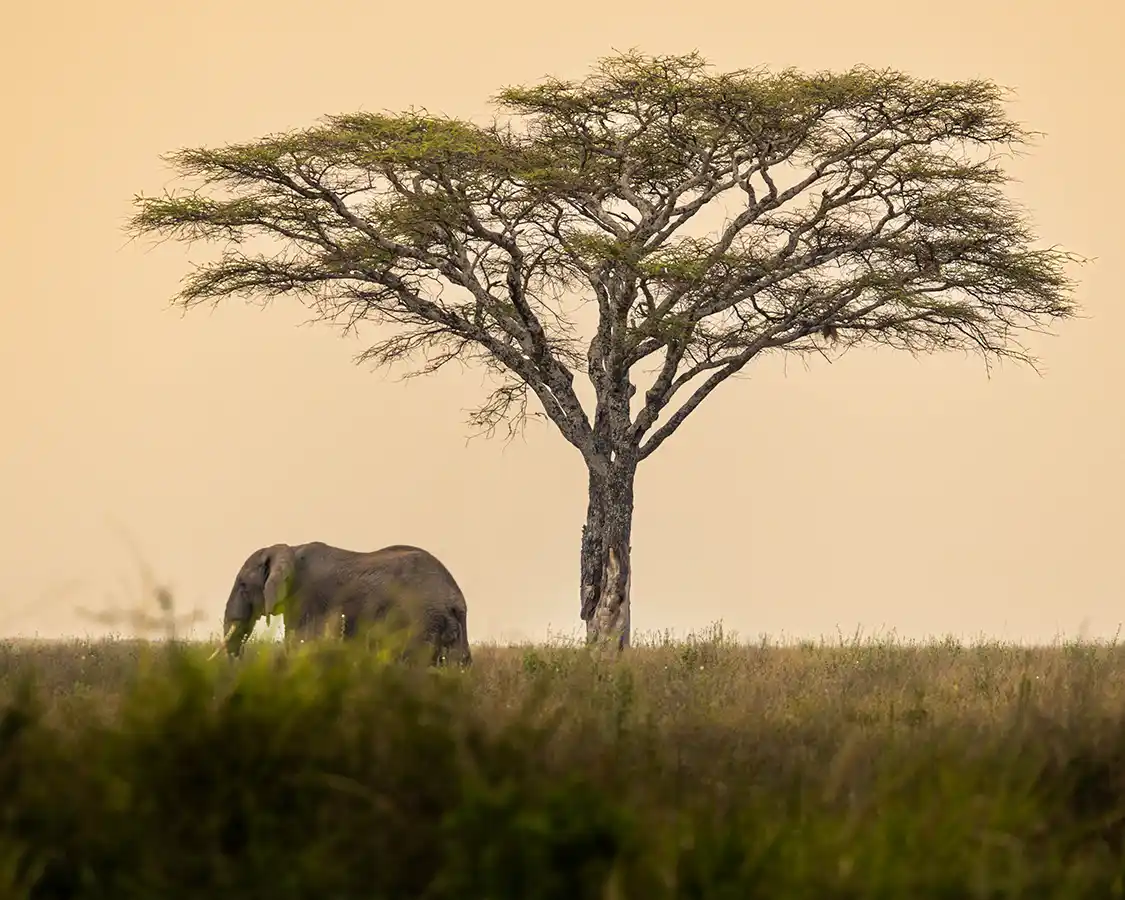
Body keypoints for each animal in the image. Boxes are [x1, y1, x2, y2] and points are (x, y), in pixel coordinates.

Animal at [217, 541, 472, 666]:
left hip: (419, 619)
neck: (289, 548)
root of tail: (454, 598)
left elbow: (301, 645)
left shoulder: (307, 597)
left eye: (243, 585)